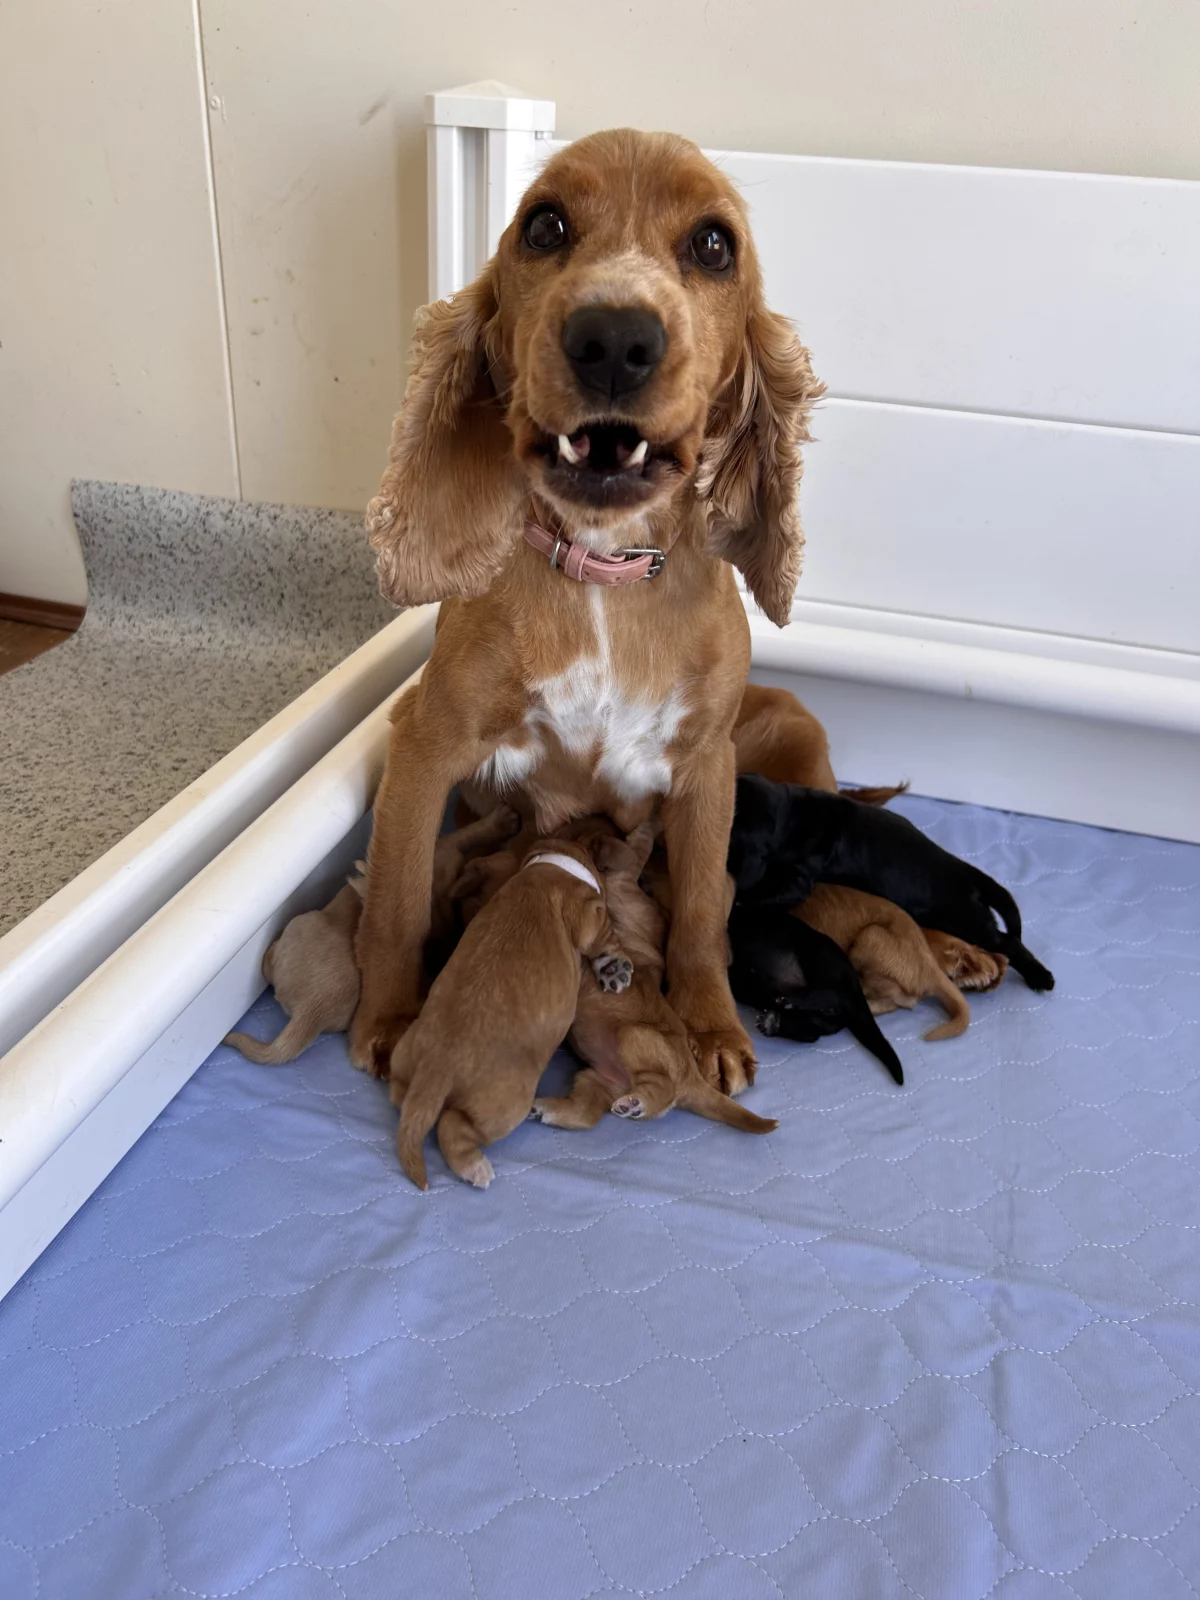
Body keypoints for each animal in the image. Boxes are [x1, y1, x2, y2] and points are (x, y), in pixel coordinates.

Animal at [352, 129, 830, 1097]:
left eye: (714, 245)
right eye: (544, 226)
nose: (614, 337)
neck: (604, 572)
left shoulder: (706, 771)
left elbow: (700, 911)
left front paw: (712, 1025)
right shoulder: (425, 742)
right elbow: (395, 898)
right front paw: (385, 1017)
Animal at [390, 839, 632, 1189]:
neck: (554, 864)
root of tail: (435, 1072)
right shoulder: (589, 915)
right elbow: (603, 936)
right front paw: (615, 965)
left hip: (404, 1057)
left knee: (401, 1099)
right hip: (506, 1106)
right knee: (453, 1127)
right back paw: (474, 1168)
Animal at [532, 822, 776, 1133]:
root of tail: (693, 1080)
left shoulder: (621, 885)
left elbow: (638, 848)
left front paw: (648, 827)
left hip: (633, 1037)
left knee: (664, 1088)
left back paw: (638, 1104)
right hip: (594, 1078)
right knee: (585, 1113)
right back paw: (546, 1109)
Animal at [727, 904, 905, 1083]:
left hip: (816, 955)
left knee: (833, 994)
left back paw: (789, 1002)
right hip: (822, 1013)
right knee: (814, 1030)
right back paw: (774, 1022)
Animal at [728, 775, 1055, 991]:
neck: (791, 814)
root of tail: (967, 871)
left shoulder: (798, 876)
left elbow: (763, 891)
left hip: (966, 918)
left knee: (1008, 941)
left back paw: (1041, 977)